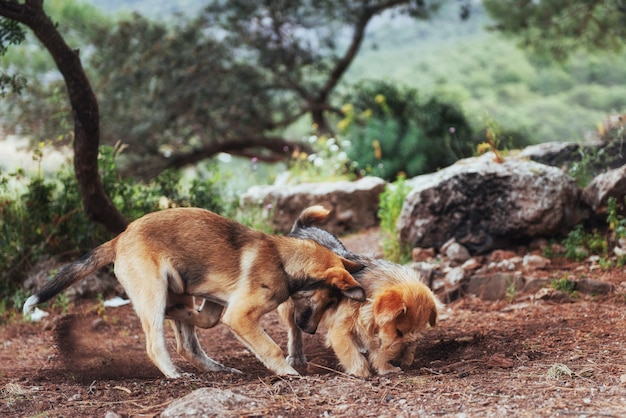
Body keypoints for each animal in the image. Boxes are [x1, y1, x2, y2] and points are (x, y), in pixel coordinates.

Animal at [24, 207, 364, 378]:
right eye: (329, 299)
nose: (310, 331)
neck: (284, 262)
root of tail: (119, 238)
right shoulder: (239, 315)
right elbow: (270, 347)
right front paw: (288, 372)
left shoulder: (217, 304)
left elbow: (206, 321)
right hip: (153, 292)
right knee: (156, 344)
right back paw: (175, 375)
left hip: (177, 287)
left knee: (186, 344)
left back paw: (212, 364)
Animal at [278, 207, 438, 378]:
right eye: (398, 332)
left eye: (415, 337)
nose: (399, 362)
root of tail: (301, 227)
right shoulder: (340, 329)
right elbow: (352, 354)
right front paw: (361, 373)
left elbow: (376, 348)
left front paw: (386, 368)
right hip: (292, 307)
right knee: (294, 329)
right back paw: (296, 356)